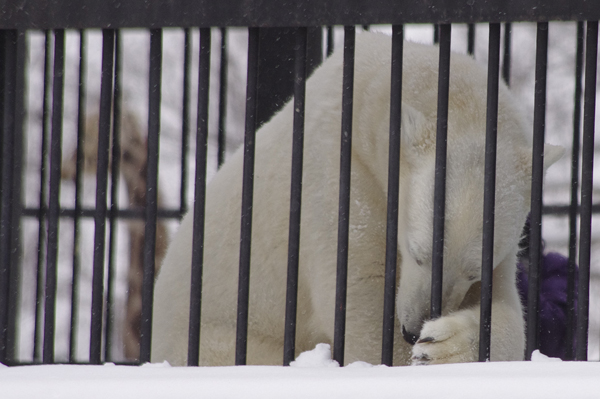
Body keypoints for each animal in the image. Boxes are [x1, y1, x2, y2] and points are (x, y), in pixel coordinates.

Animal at [151, 32, 564, 368]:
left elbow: (506, 308)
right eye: (418, 252)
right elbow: (363, 300)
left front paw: (444, 344)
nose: (413, 329)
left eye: (473, 271)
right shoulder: (338, 176)